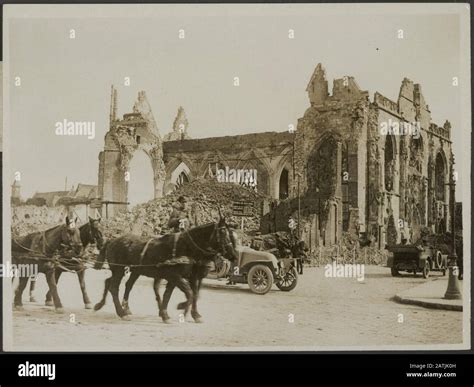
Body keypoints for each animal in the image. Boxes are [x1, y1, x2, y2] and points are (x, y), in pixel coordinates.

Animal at [94, 218, 239, 324]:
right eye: (222, 233)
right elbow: (189, 293)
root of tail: (112, 240)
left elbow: (179, 294)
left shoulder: (187, 277)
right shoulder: (175, 276)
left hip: (133, 271)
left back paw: (108, 306)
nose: (233, 255)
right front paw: (181, 308)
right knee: (114, 287)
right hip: (119, 270)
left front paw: (171, 314)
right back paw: (121, 312)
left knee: (119, 284)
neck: (185, 247)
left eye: (231, 234)